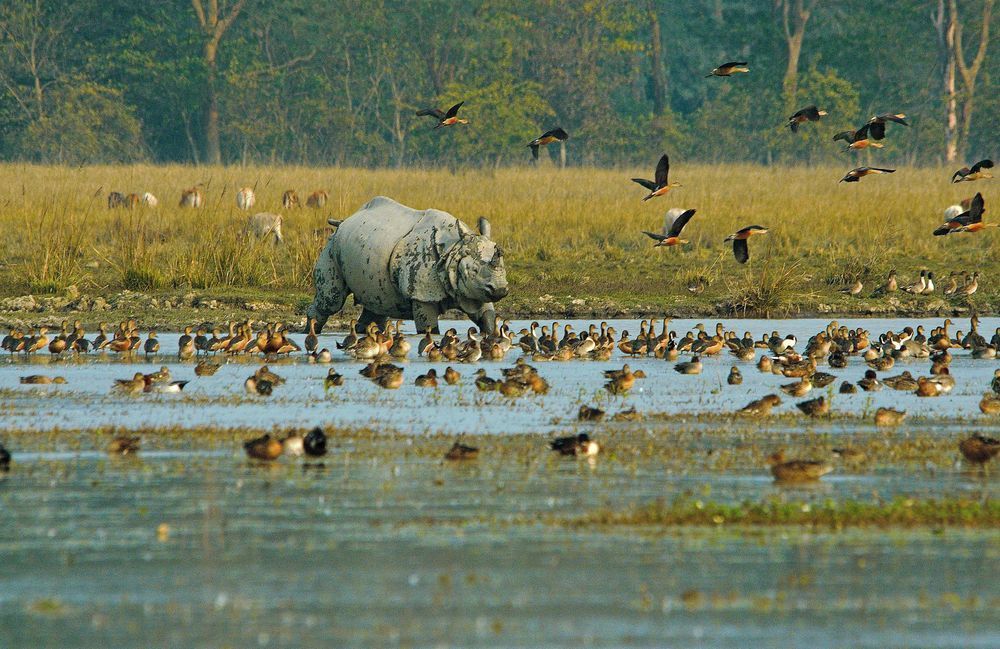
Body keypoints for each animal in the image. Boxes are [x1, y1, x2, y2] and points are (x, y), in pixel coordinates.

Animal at [307, 196, 508, 334]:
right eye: (473, 270)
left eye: (503, 267)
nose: (500, 289)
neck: (453, 250)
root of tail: (344, 221)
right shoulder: (421, 292)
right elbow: (429, 328)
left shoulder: (477, 291)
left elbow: (487, 318)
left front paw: (490, 334)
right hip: (332, 246)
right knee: (331, 301)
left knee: (376, 304)